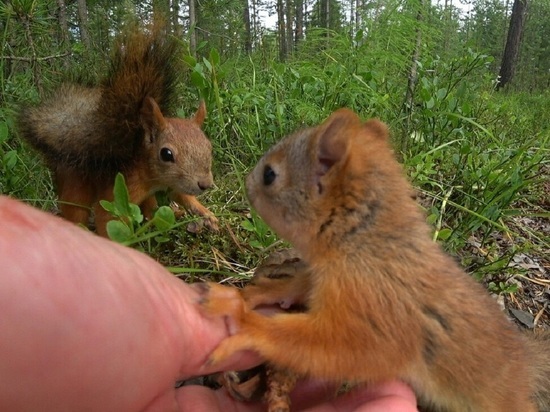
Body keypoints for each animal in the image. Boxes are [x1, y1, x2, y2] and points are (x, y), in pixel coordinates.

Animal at [17, 22, 216, 235]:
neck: (147, 168)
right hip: (75, 185)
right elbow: (107, 218)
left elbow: (183, 196)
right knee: (76, 211)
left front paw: (207, 214)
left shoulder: (171, 184)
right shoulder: (122, 187)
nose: (205, 184)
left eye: (209, 147)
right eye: (166, 154)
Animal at [198, 108, 550, 410]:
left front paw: (244, 319)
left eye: (270, 175)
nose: (246, 183)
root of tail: (525, 366)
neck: (364, 242)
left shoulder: (375, 307)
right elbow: (302, 285)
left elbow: (340, 348)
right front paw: (263, 291)